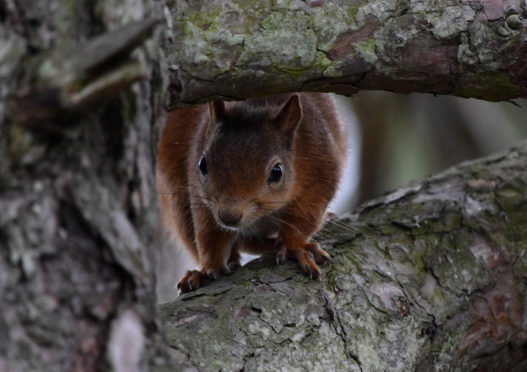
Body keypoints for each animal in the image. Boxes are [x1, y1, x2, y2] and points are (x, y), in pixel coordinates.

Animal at [157, 93, 348, 294]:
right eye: (202, 164)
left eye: (277, 171)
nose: (229, 216)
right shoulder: (200, 195)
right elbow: (209, 233)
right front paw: (208, 267)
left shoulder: (320, 168)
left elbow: (304, 217)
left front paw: (294, 247)